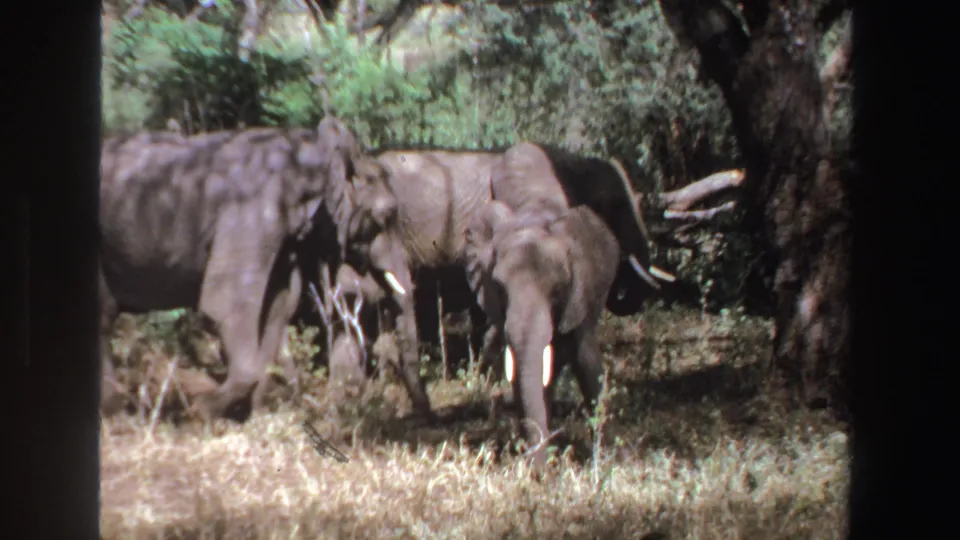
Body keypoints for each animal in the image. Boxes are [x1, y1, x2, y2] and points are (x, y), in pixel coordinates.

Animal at [98, 116, 401, 422]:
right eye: (385, 216)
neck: (311, 150)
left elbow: (278, 308)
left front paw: (256, 417)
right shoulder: (251, 214)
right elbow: (226, 308)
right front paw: (201, 411)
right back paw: (118, 416)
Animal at [463, 199, 621, 469]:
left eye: (557, 289)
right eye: (500, 288)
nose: (540, 474)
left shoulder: (581, 297)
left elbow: (586, 361)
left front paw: (601, 459)